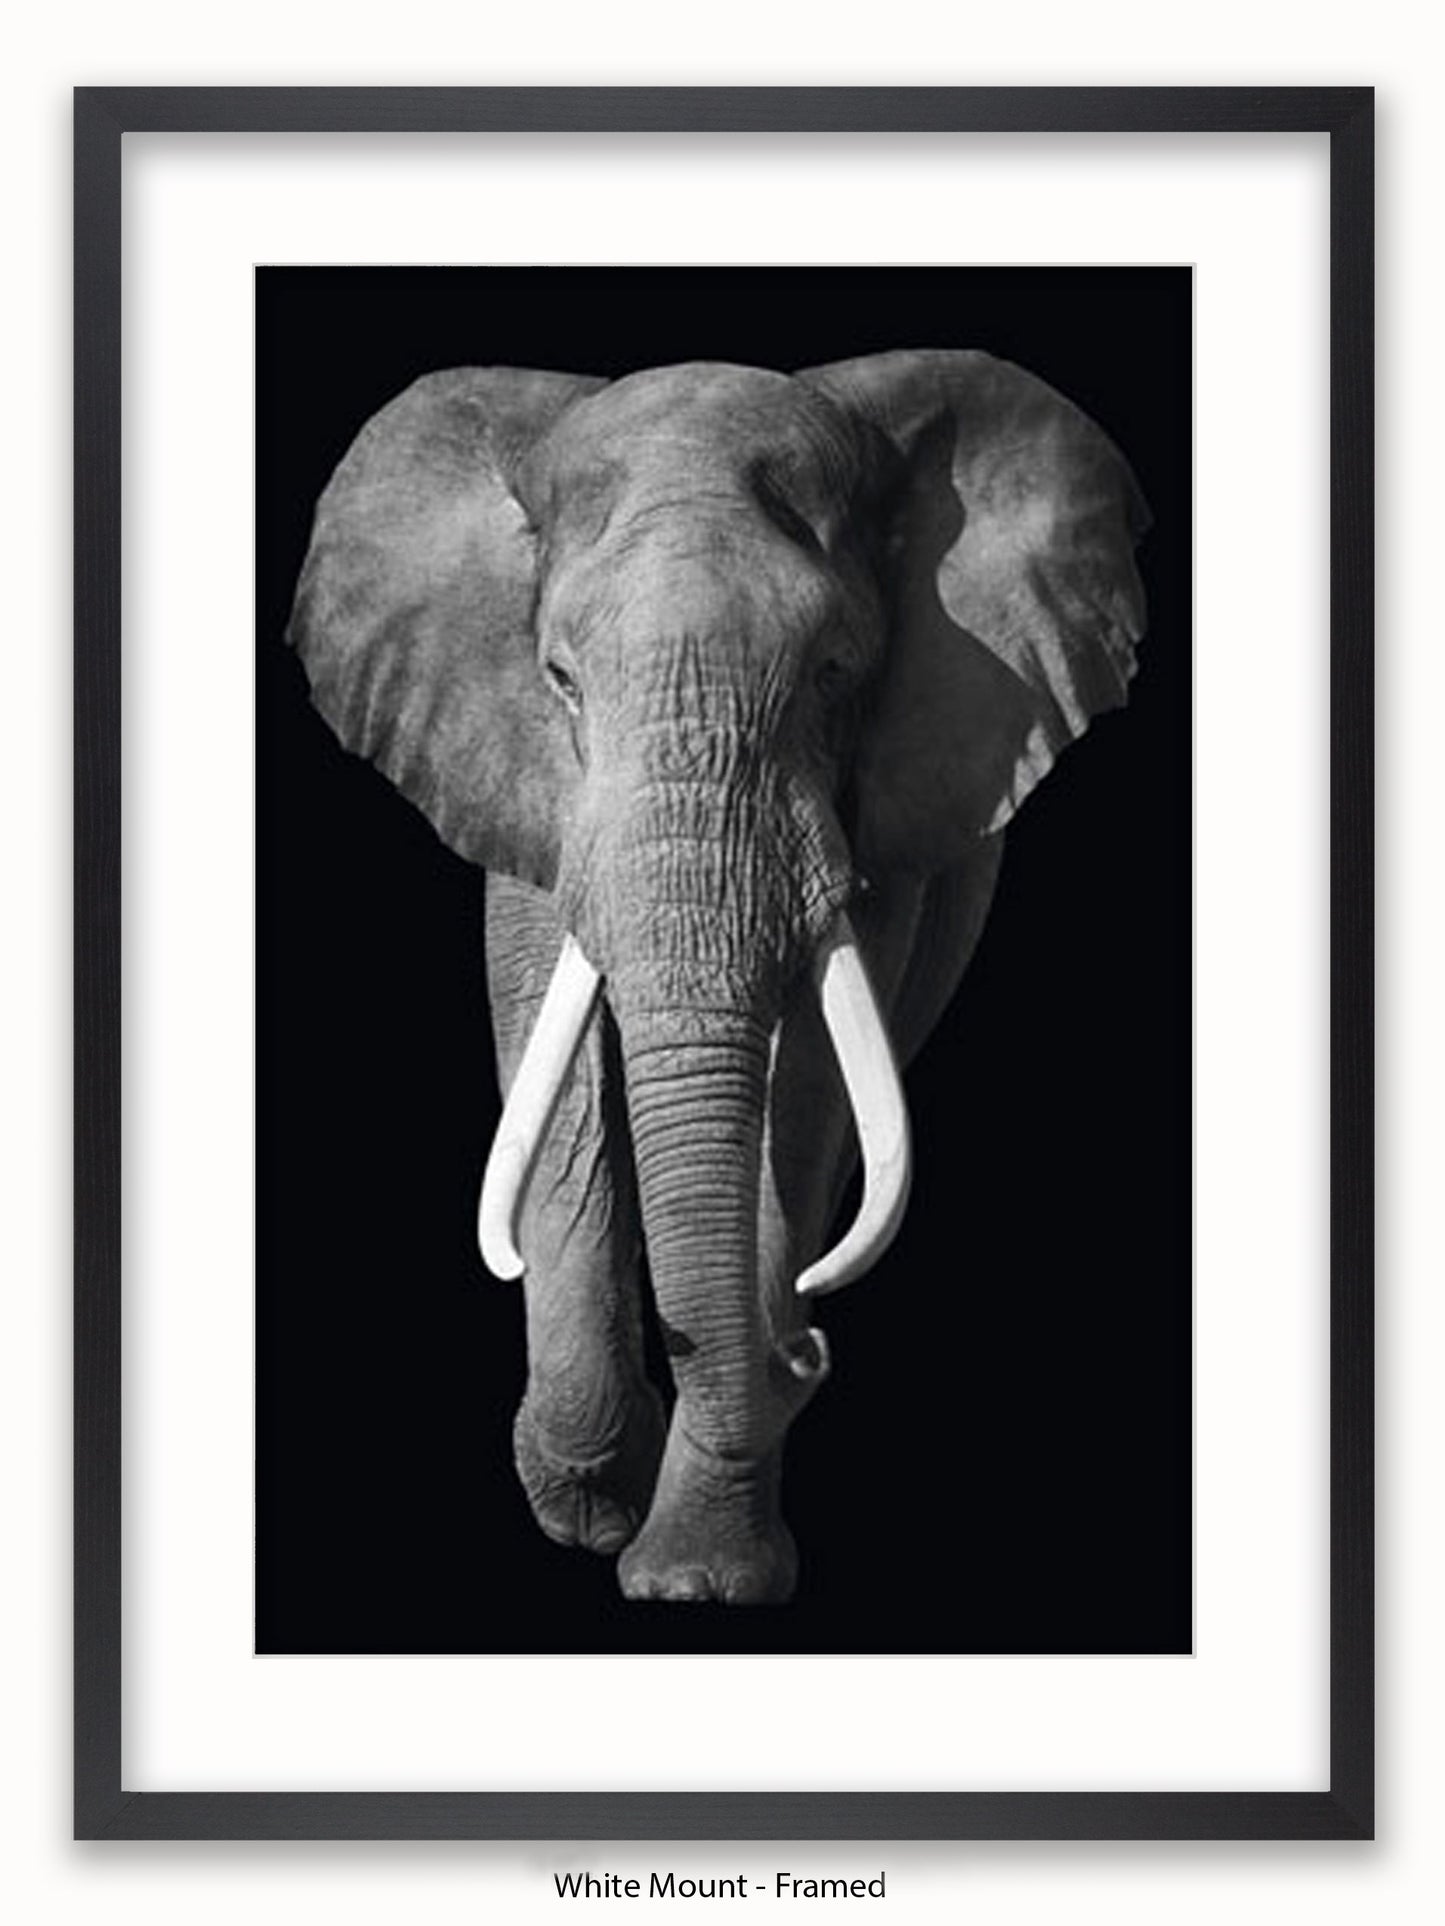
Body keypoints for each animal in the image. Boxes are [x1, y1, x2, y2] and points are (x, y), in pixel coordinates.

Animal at [286, 350, 1148, 1605]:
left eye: (836, 671)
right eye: (559, 678)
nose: (806, 1349)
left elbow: (804, 1090)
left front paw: (696, 1577)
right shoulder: (521, 776)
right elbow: (559, 1065)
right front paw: (592, 1501)